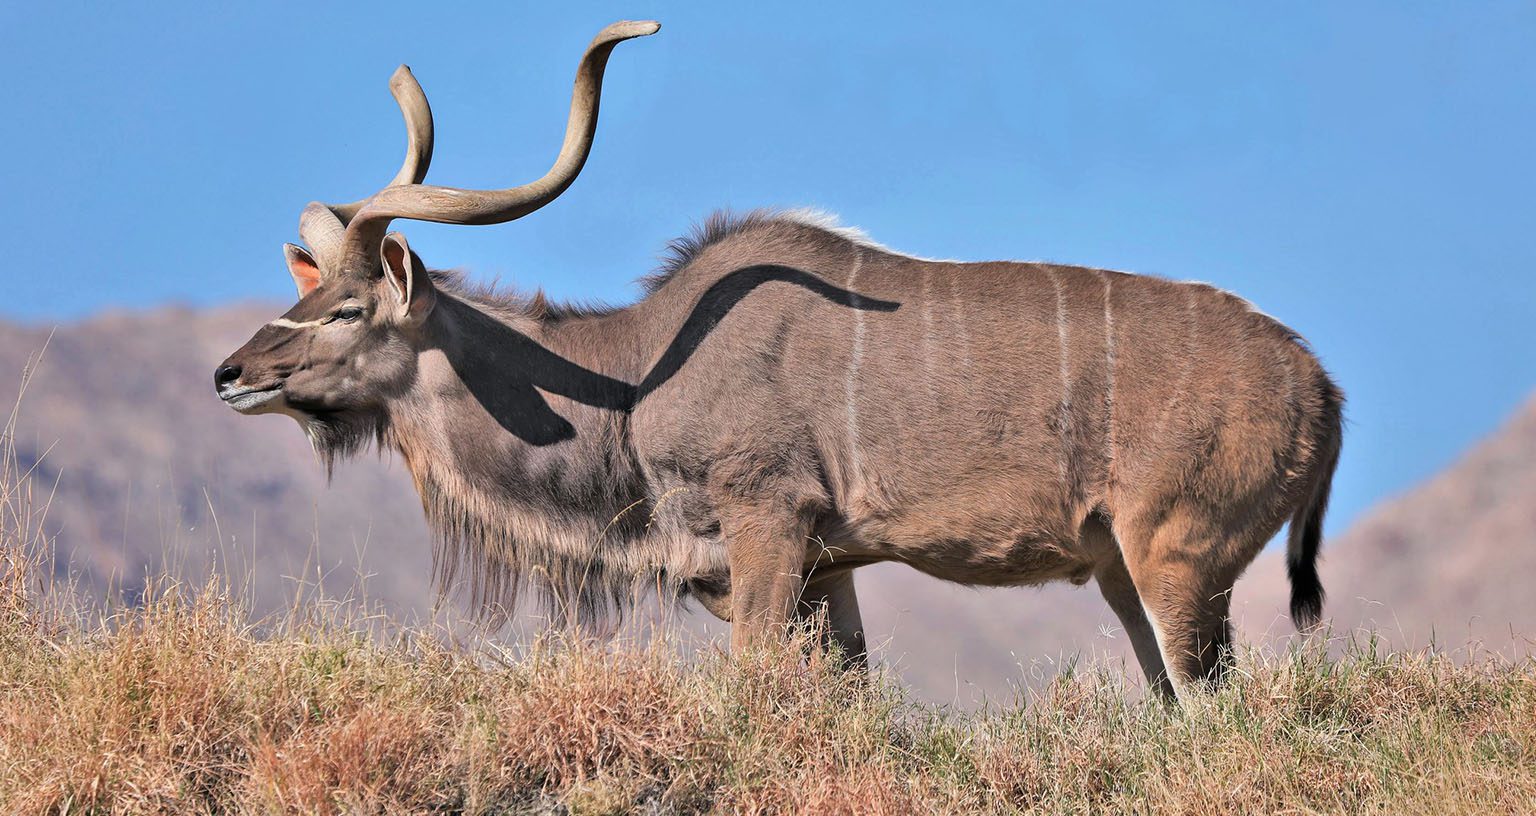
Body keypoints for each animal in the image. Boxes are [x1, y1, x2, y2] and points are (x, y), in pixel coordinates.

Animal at [215, 20, 1343, 699]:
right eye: (299, 294)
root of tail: (1322, 389)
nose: (231, 375)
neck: (634, 380)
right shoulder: (827, 566)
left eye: (345, 309)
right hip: (1118, 569)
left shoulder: (769, 521)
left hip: (1175, 558)